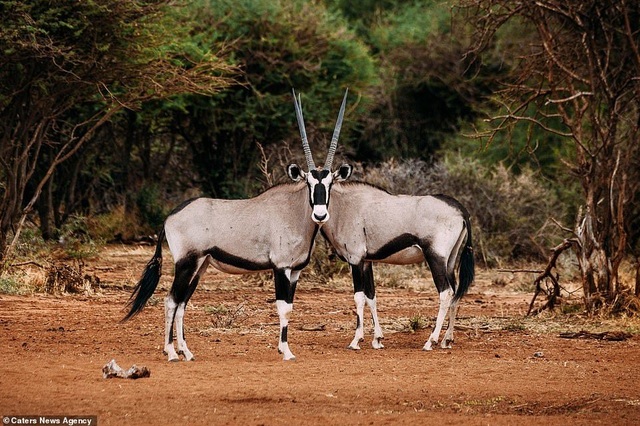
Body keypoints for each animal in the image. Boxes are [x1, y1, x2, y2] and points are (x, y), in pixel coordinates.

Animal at [124, 89, 356, 360]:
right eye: (309, 183)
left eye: (330, 184)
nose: (320, 215)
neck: (293, 211)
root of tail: (170, 217)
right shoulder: (280, 268)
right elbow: (283, 307)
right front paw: (286, 351)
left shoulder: (295, 271)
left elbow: (290, 306)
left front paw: (283, 347)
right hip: (186, 263)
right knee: (171, 301)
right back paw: (171, 352)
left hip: (199, 266)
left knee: (181, 303)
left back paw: (187, 352)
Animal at [320, 180, 476, 350]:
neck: (345, 206)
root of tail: (460, 210)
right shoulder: (367, 262)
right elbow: (371, 296)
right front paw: (377, 339)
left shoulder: (356, 260)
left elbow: (359, 297)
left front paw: (356, 340)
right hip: (450, 261)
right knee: (455, 293)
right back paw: (447, 340)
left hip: (436, 258)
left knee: (446, 292)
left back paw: (431, 341)